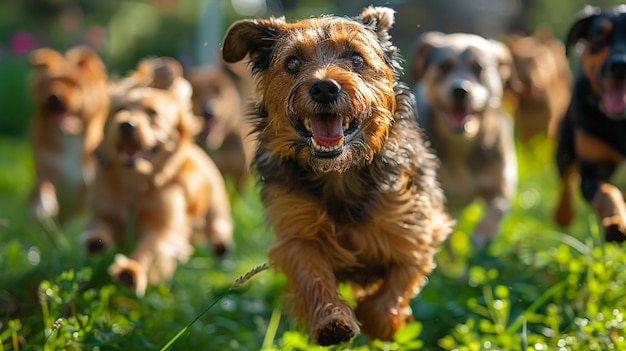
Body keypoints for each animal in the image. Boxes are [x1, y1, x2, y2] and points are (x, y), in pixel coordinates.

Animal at [28, 45, 109, 227]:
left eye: (74, 83)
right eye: (49, 82)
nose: (54, 96)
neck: (70, 136)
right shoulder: (47, 166)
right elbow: (44, 185)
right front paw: (42, 206)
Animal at [219, 5, 448, 346]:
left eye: (356, 59)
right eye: (293, 62)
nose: (324, 87)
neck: (340, 174)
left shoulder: (417, 226)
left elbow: (399, 281)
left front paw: (380, 322)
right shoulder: (296, 231)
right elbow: (311, 273)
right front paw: (332, 321)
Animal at [408, 31, 516, 249]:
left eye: (479, 68)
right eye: (444, 66)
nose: (460, 90)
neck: (461, 142)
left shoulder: (501, 182)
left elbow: (498, 206)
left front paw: (482, 233)